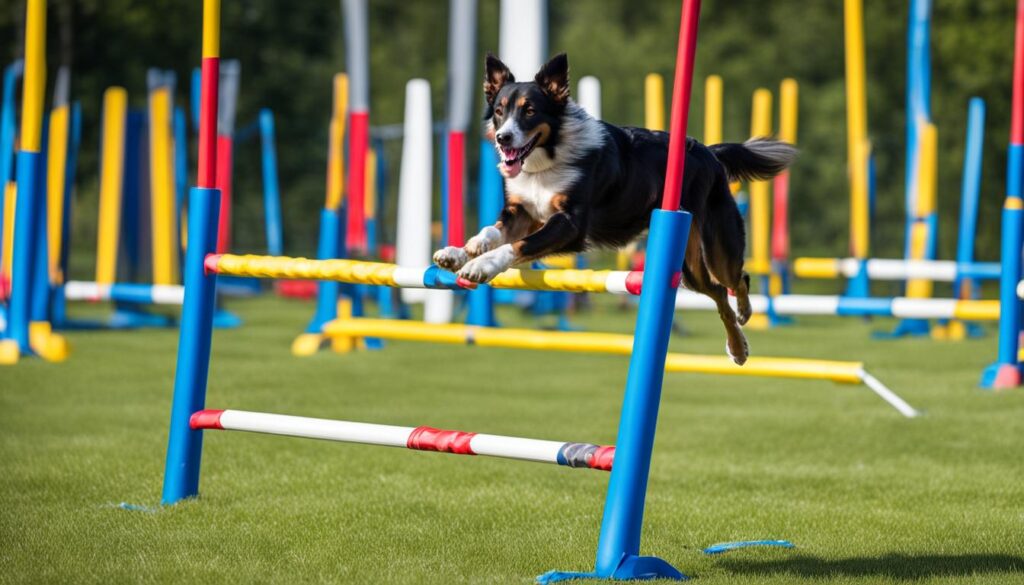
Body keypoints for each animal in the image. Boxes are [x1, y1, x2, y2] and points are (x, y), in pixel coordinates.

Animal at [434, 54, 798, 366]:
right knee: (719, 293)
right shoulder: (522, 211)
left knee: (737, 279)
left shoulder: (570, 224)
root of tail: (709, 152)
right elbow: (494, 231)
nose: (503, 138)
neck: (546, 160)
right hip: (689, 269)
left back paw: (745, 322)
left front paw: (481, 265)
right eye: (499, 110)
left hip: (717, 247)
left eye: (530, 111)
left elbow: (518, 246)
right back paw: (738, 347)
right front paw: (460, 251)